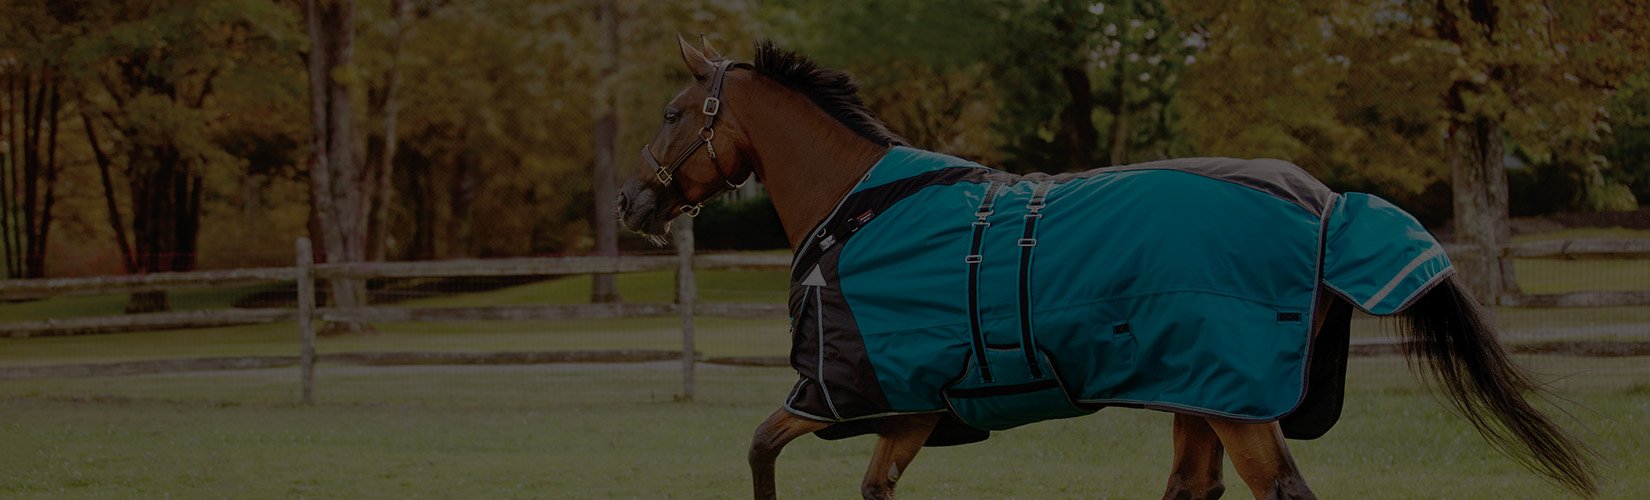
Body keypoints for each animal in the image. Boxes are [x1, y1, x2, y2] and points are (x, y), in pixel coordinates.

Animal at [616, 36, 1596, 499]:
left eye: (670, 112)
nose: (629, 203)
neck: (861, 203)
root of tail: (1326, 205)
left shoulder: (840, 393)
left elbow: (758, 452)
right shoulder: (914, 410)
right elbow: (872, 485)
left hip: (1234, 404)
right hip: (1199, 393)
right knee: (1192, 487)